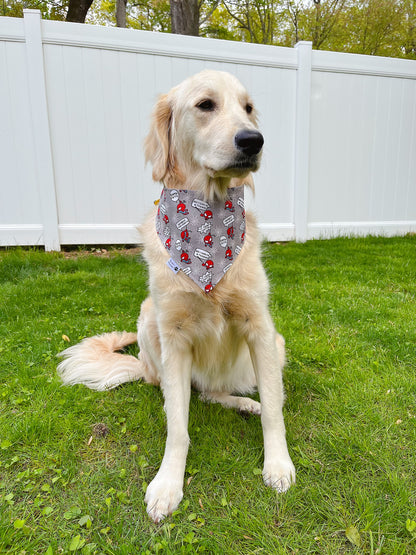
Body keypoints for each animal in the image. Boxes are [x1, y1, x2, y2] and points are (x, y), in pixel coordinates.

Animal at [57, 70, 296, 524]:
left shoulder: (260, 326)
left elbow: (275, 410)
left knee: (229, 392)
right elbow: (178, 429)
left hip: (276, 343)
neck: (208, 222)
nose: (253, 140)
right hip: (149, 321)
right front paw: (168, 483)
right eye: (205, 105)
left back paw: (246, 403)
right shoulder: (175, 334)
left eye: (248, 108)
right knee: (189, 394)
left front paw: (277, 464)